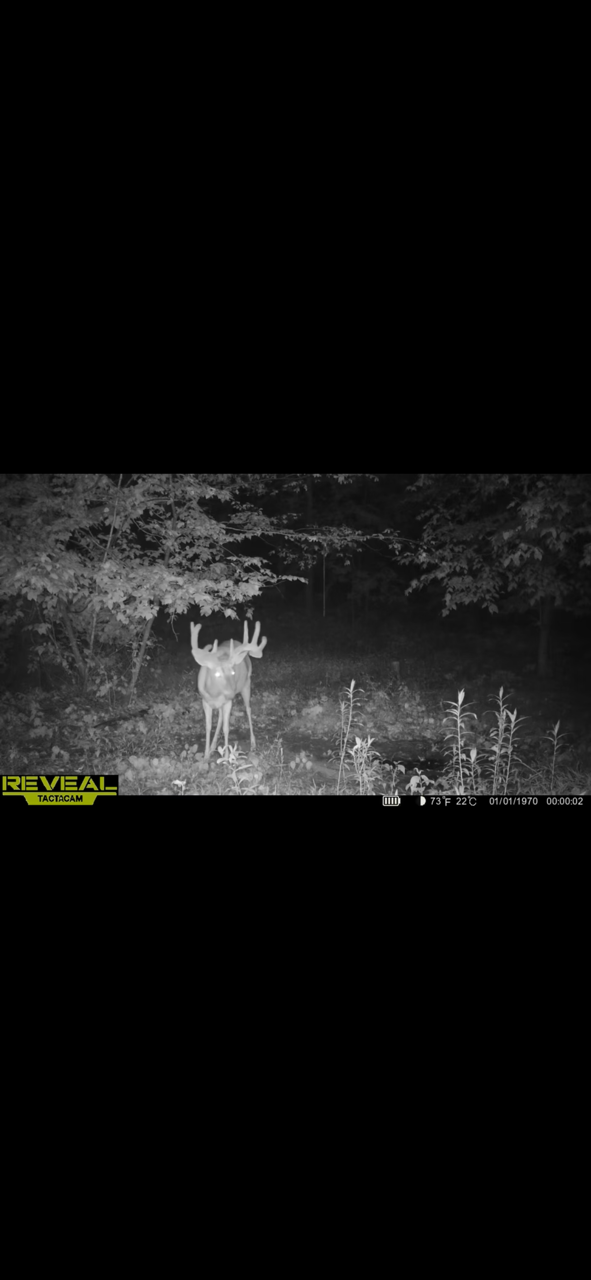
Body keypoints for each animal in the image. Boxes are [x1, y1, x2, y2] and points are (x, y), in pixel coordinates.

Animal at [190, 619, 267, 761]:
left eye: (232, 672)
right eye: (217, 674)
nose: (232, 692)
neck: (214, 694)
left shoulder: (228, 702)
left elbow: (226, 728)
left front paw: (226, 758)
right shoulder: (205, 701)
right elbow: (208, 726)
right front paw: (206, 755)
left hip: (246, 684)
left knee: (248, 709)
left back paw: (253, 743)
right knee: (221, 717)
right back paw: (213, 746)